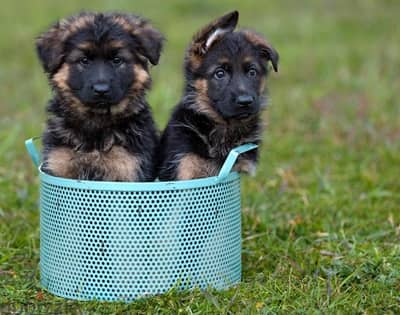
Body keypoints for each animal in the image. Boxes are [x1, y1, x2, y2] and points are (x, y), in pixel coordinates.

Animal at [35, 12, 164, 181]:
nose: (101, 90)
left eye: (117, 60)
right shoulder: (58, 163)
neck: (97, 122)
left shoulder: (128, 168)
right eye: (84, 60)